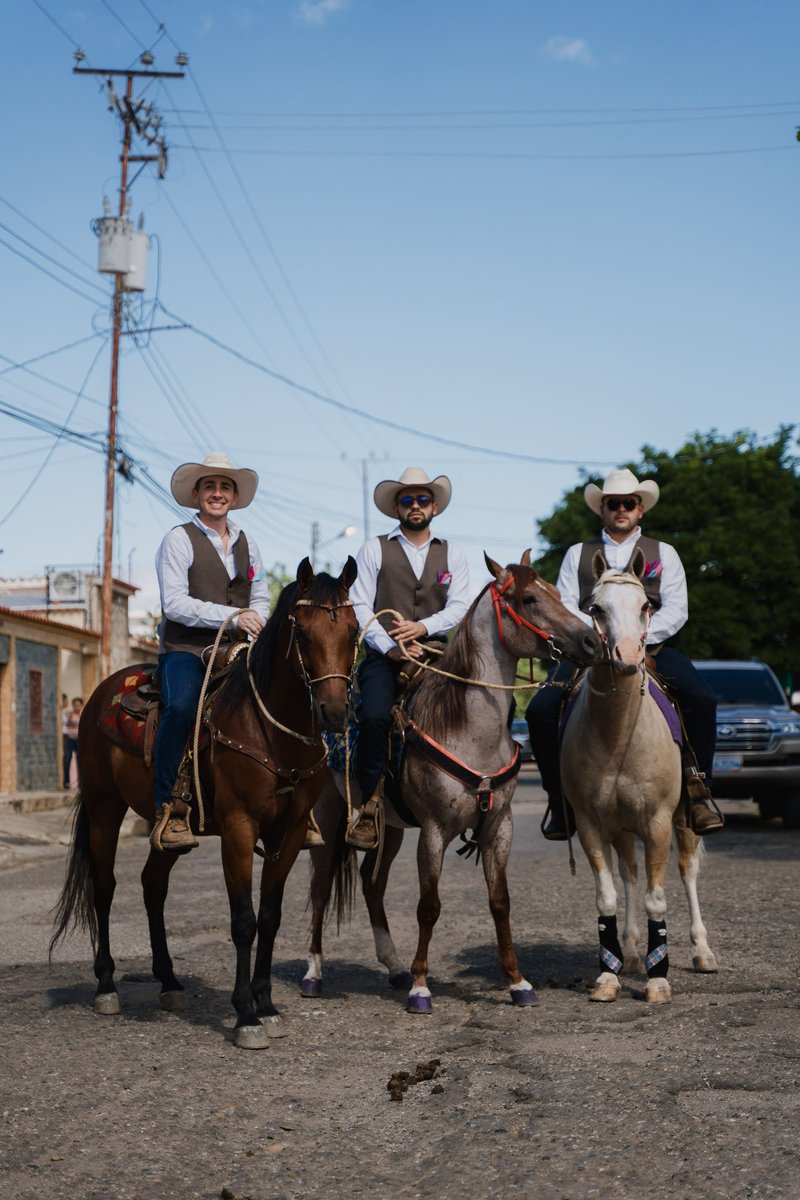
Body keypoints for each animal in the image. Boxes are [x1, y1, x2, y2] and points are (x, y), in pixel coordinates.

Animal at [51, 556, 357, 1046]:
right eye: (304, 634)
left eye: (352, 631)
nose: (334, 713)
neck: (271, 730)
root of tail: (104, 691)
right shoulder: (238, 827)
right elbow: (244, 921)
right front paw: (246, 1015)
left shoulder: (289, 832)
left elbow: (270, 915)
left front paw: (266, 1004)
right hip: (103, 808)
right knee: (104, 887)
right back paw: (106, 986)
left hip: (170, 827)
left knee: (152, 885)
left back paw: (169, 982)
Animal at [302, 552, 599, 1012]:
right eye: (530, 598)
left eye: (554, 590)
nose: (590, 642)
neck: (468, 729)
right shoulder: (434, 831)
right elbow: (429, 906)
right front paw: (422, 987)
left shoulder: (499, 827)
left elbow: (500, 903)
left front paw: (517, 981)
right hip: (330, 818)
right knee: (319, 889)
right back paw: (314, 973)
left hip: (389, 829)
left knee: (373, 884)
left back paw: (394, 967)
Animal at [556, 549, 719, 1003]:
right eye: (595, 607)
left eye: (646, 605)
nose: (627, 656)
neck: (618, 733)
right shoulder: (592, 825)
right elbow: (608, 897)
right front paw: (607, 976)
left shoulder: (658, 822)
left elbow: (656, 898)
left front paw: (658, 979)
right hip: (620, 828)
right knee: (628, 875)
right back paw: (628, 953)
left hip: (683, 821)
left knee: (687, 871)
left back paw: (702, 952)